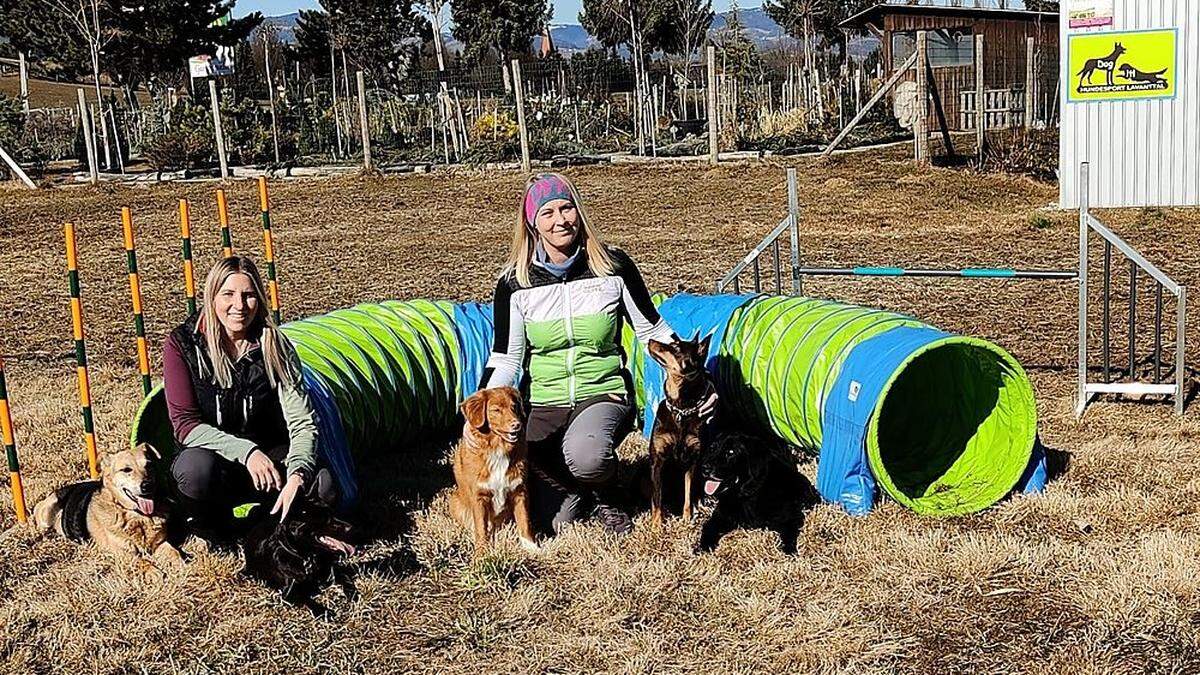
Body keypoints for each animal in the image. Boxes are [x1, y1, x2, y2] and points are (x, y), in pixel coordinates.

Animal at [32, 441, 183, 578]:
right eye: (127, 470)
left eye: (149, 465)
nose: (147, 486)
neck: (138, 517)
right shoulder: (122, 553)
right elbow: (141, 562)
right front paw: (153, 571)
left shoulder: (160, 544)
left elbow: (175, 553)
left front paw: (183, 566)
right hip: (48, 511)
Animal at [448, 386, 537, 550]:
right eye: (496, 410)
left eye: (514, 407)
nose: (517, 425)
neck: (498, 448)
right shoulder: (479, 496)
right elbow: (481, 528)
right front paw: (482, 553)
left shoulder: (519, 491)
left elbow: (524, 521)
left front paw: (532, 548)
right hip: (454, 500)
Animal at [648, 333, 710, 526]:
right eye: (672, 343)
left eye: (676, 348)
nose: (650, 340)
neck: (681, 409)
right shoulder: (658, 461)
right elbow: (657, 498)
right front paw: (656, 526)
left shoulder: (692, 460)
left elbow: (688, 493)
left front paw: (687, 519)